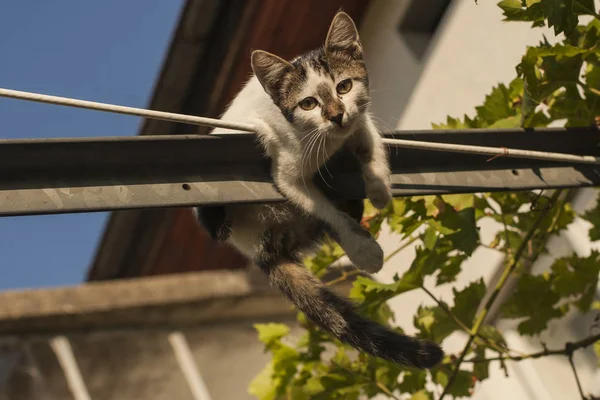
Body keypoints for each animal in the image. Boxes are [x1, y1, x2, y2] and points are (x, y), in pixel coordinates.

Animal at [195, 10, 442, 368]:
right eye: (308, 103)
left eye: (345, 86)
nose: (336, 116)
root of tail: (254, 247)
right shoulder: (286, 170)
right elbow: (323, 208)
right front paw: (363, 246)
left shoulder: (360, 119)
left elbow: (370, 142)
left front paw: (379, 187)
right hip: (217, 216)